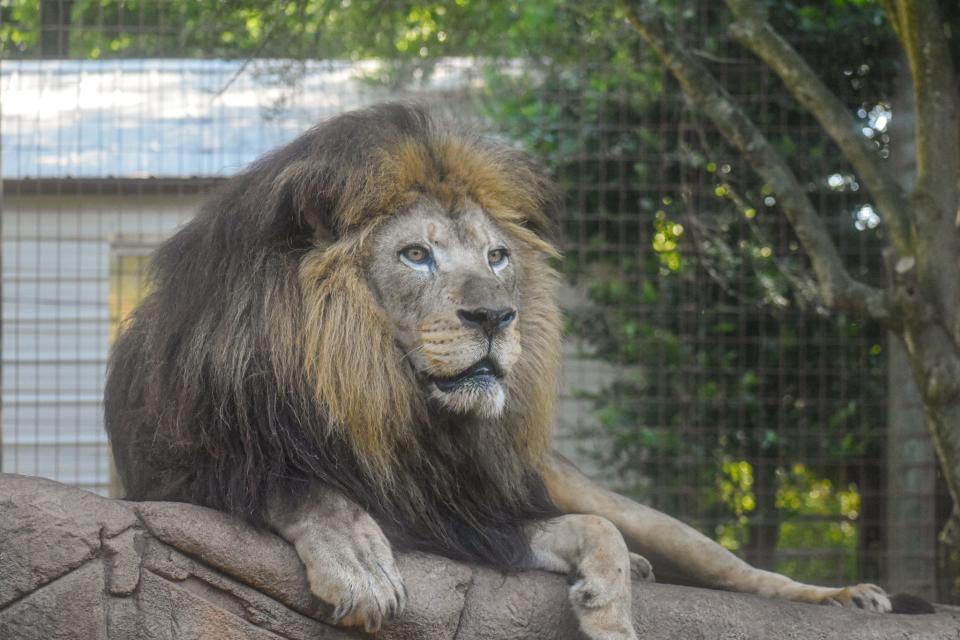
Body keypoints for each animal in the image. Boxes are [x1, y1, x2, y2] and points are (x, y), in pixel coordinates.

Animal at [107, 102, 924, 636]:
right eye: (415, 254)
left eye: (497, 255)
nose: (496, 316)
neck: (387, 405)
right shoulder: (183, 471)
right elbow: (302, 487)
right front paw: (360, 562)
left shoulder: (473, 510)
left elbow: (595, 527)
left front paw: (611, 605)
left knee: (733, 568)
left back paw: (846, 596)